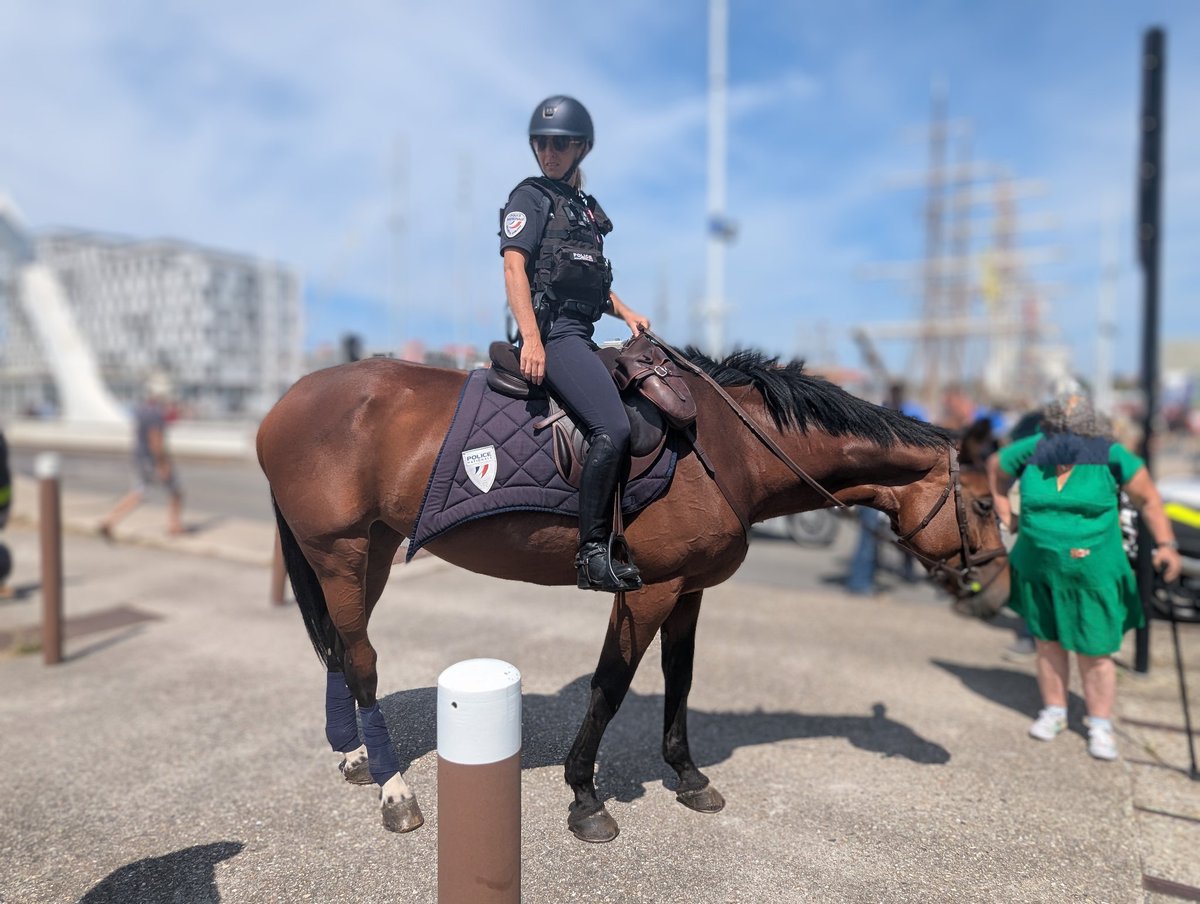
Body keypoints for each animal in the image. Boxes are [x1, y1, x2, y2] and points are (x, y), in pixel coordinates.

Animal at [257, 345, 1010, 843]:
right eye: (981, 503)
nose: (999, 590)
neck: (730, 447)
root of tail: (282, 404)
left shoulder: (690, 591)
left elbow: (679, 679)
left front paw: (687, 774)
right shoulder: (647, 590)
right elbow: (610, 684)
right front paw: (584, 794)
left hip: (370, 551)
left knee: (342, 650)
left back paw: (357, 756)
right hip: (339, 550)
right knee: (360, 658)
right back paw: (394, 790)